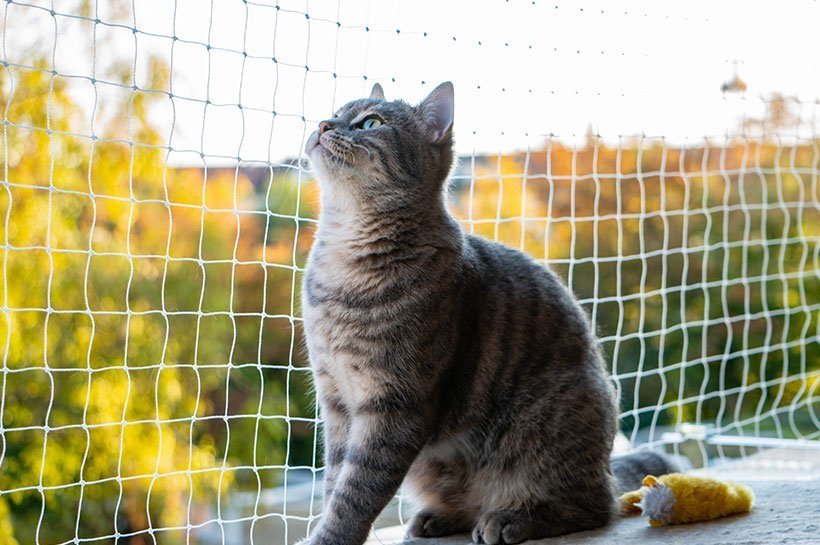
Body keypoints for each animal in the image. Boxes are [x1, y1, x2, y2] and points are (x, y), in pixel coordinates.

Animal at [300, 82, 672, 544]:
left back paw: (512, 518)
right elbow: (336, 480)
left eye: (370, 123)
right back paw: (438, 517)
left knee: (594, 507)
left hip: (541, 424)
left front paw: (330, 536)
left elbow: (356, 490)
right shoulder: (335, 401)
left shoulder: (394, 406)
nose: (322, 124)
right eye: (335, 112)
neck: (342, 261)